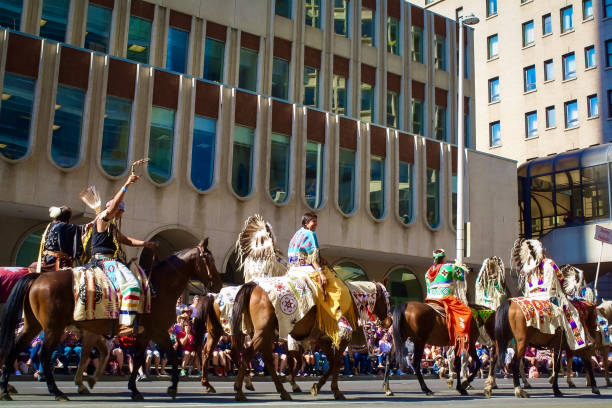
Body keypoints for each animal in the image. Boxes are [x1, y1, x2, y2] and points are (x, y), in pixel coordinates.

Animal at [0, 239, 222, 402]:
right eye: (209, 260)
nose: (219, 285)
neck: (159, 287)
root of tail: (38, 278)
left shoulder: (141, 333)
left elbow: (129, 356)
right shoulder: (156, 332)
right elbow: (163, 357)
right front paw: (165, 388)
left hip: (33, 325)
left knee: (14, 348)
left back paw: (5, 389)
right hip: (53, 328)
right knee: (44, 355)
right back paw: (56, 391)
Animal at [227, 278, 390, 400]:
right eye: (388, 298)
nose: (389, 322)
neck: (351, 300)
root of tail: (254, 286)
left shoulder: (323, 340)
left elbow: (331, 362)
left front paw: (316, 386)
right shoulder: (340, 338)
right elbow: (337, 362)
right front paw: (335, 390)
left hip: (265, 335)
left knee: (266, 359)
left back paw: (282, 391)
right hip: (262, 333)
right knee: (248, 354)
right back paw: (241, 391)